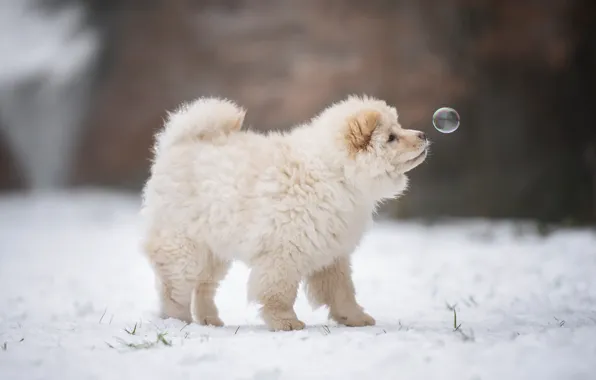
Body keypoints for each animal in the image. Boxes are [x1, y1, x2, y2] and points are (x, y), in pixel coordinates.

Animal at [140, 94, 428, 330]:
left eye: (398, 128)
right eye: (391, 137)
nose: (423, 134)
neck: (336, 174)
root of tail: (178, 144)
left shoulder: (333, 252)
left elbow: (342, 291)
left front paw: (355, 318)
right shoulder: (283, 251)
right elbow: (279, 292)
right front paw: (285, 322)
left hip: (214, 249)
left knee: (204, 287)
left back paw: (210, 320)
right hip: (185, 246)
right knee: (175, 288)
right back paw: (179, 322)